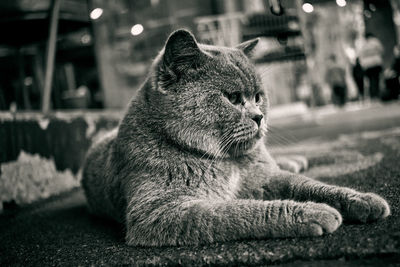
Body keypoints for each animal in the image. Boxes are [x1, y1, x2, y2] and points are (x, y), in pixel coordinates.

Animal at [81, 28, 390, 247]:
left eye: (258, 97)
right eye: (232, 98)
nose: (259, 116)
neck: (227, 162)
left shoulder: (267, 176)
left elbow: (311, 184)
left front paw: (363, 200)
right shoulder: (159, 212)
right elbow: (240, 211)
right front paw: (314, 213)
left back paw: (296, 159)